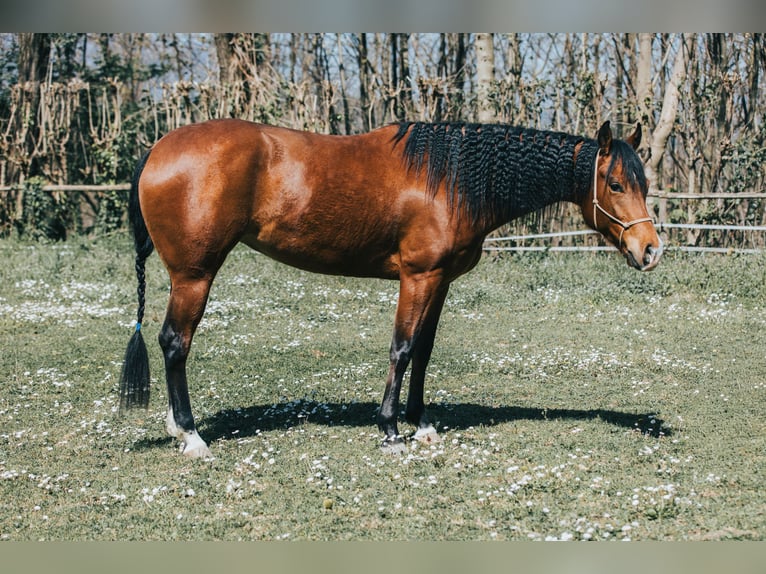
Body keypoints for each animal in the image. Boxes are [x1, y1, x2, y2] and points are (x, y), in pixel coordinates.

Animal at [119, 118, 663, 458]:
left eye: (644, 183)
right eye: (615, 184)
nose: (651, 250)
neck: (452, 179)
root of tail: (156, 150)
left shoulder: (440, 281)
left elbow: (423, 351)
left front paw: (422, 424)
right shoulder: (416, 277)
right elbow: (401, 349)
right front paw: (390, 431)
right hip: (194, 275)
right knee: (175, 343)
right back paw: (191, 436)